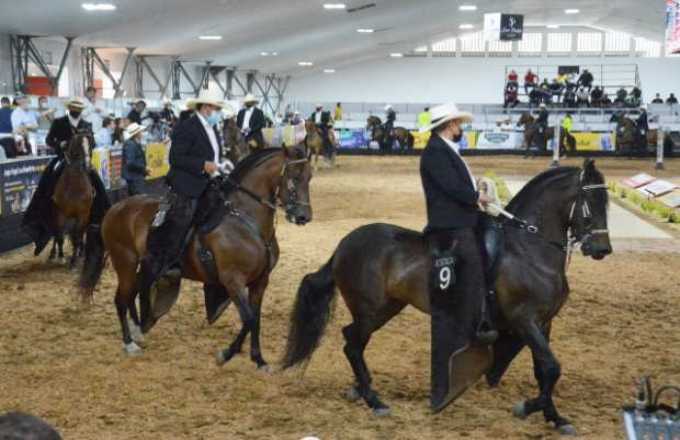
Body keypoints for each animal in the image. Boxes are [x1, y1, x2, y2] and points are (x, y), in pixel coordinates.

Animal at [51, 134, 94, 266]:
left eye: (90, 143)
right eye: (79, 143)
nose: (88, 165)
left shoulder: (82, 214)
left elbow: (77, 236)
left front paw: (74, 261)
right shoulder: (61, 213)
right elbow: (60, 235)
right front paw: (61, 257)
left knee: (78, 234)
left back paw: (80, 252)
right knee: (57, 234)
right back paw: (53, 254)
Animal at [80, 145, 314, 368]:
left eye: (309, 177)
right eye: (294, 176)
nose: (304, 216)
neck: (245, 220)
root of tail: (115, 208)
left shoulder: (261, 281)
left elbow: (255, 319)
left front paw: (258, 359)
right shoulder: (232, 280)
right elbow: (248, 319)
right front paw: (226, 354)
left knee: (132, 294)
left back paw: (138, 332)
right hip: (125, 262)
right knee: (121, 298)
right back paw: (130, 343)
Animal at [282, 159, 612, 436]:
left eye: (607, 203)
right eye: (590, 203)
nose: (601, 249)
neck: (529, 248)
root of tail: (345, 243)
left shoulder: (543, 323)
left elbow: (544, 370)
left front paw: (554, 417)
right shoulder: (524, 320)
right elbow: (552, 367)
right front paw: (530, 408)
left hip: (388, 307)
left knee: (355, 342)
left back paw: (360, 390)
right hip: (371, 310)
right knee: (352, 342)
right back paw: (374, 400)